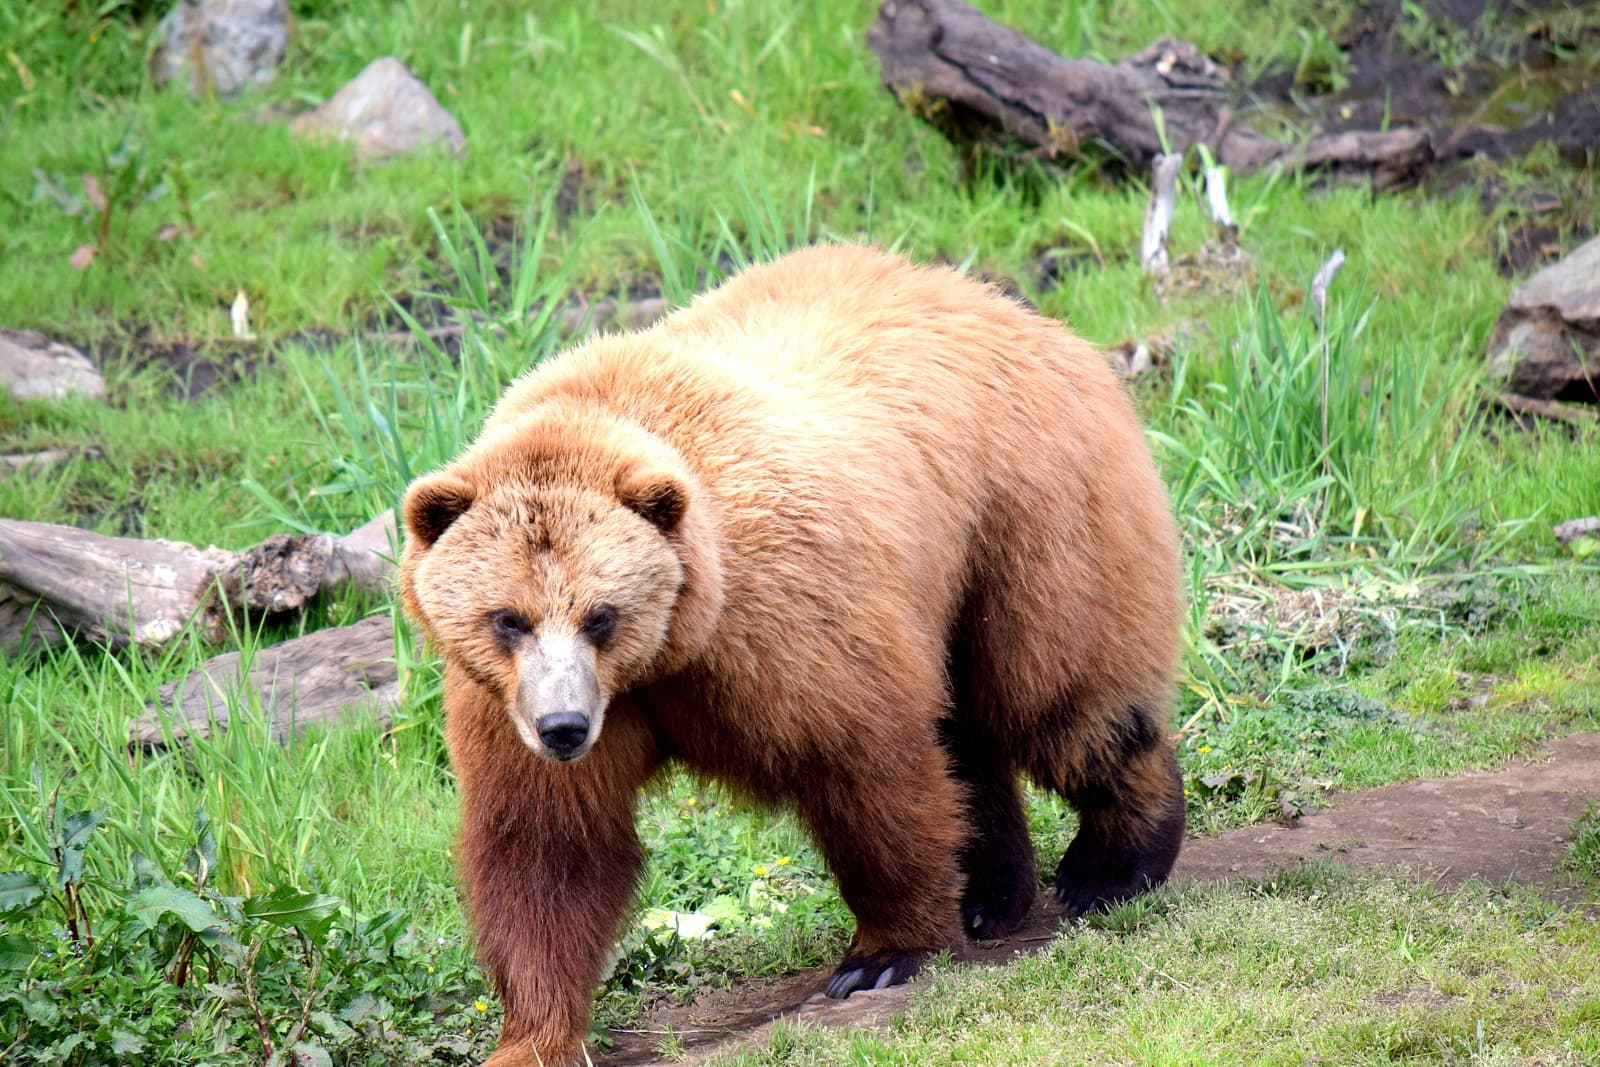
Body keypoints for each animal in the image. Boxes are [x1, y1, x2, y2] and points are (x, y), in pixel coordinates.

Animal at [398, 244, 1185, 1067]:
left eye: (601, 615)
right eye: (507, 619)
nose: (563, 728)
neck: (669, 654)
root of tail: (1015, 308)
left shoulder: (783, 624)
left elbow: (866, 764)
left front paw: (883, 953)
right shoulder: (508, 704)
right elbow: (548, 850)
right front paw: (535, 1034)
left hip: (1025, 517)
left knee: (1060, 698)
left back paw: (1113, 865)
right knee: (972, 734)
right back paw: (990, 894)